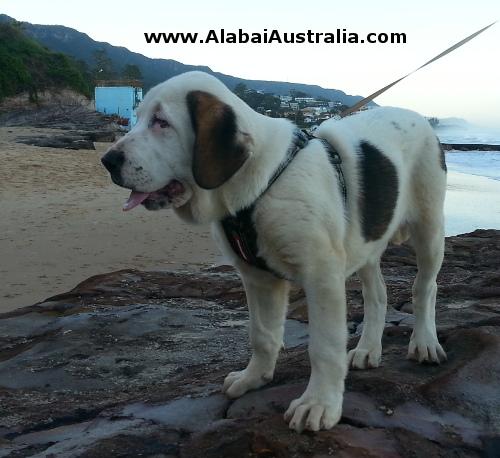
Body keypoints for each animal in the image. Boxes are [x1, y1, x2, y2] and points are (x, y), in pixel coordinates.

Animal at [100, 71, 446, 432]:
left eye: (162, 122)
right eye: (137, 117)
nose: (107, 161)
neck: (262, 181)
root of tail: (417, 115)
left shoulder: (321, 276)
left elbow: (324, 345)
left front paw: (319, 403)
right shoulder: (257, 277)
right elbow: (262, 335)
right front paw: (254, 378)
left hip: (429, 228)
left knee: (425, 287)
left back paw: (424, 342)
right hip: (367, 238)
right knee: (376, 294)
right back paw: (368, 349)